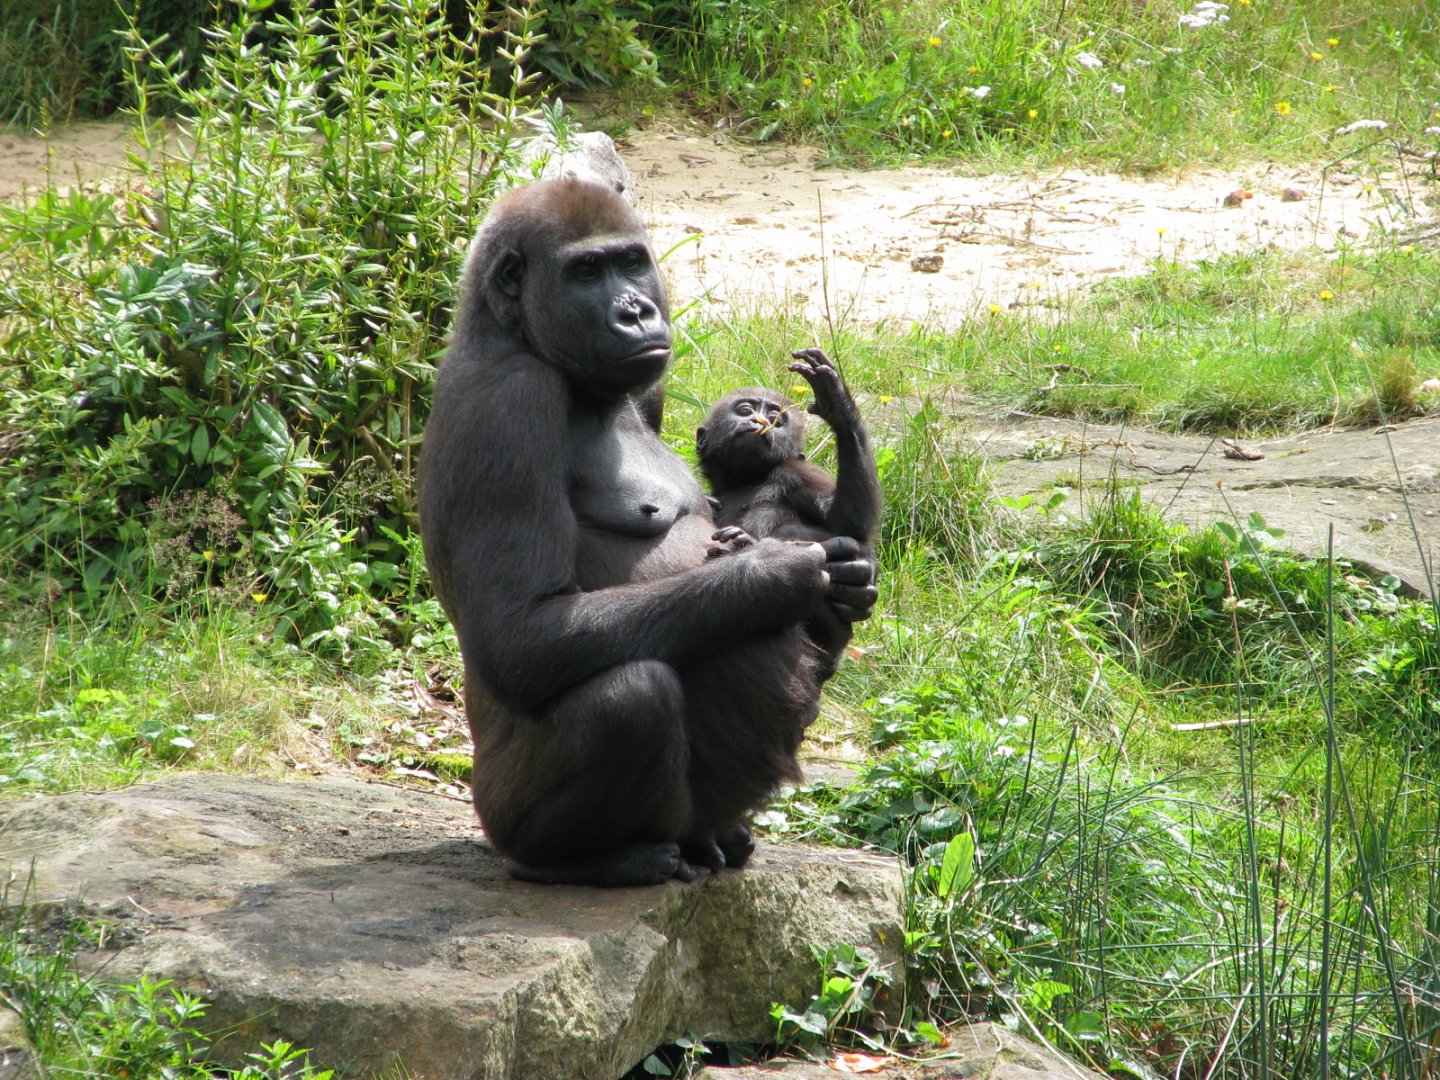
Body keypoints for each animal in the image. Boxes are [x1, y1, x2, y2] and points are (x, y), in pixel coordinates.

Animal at [418, 179, 877, 887]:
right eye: (586, 272)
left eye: (631, 262)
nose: (635, 312)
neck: (511, 335)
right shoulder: (511, 402)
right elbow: (520, 632)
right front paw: (773, 572)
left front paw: (844, 580)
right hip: (497, 812)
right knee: (632, 696)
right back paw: (578, 859)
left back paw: (713, 837)